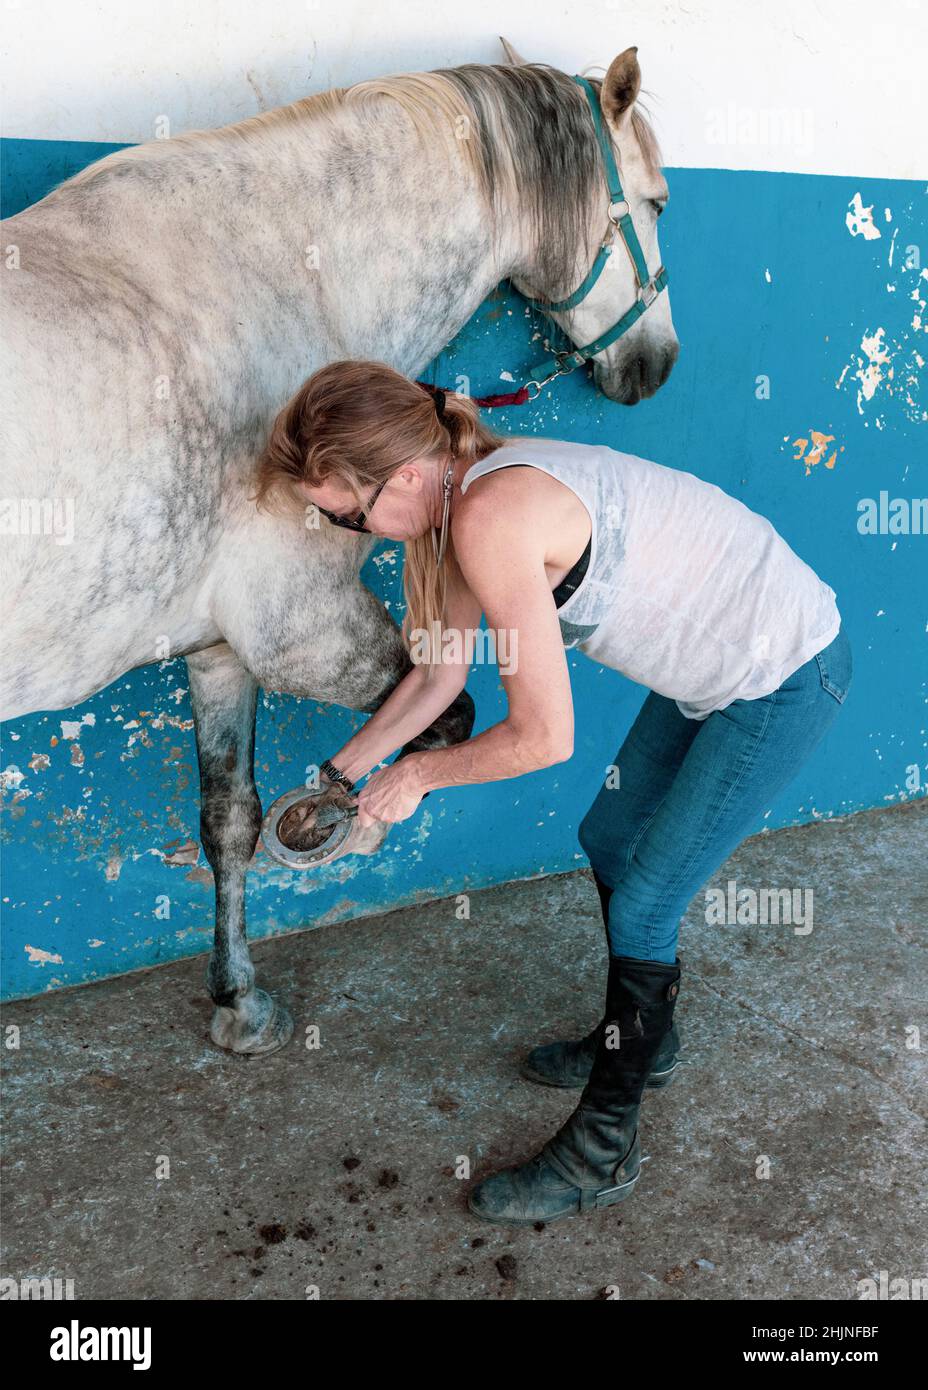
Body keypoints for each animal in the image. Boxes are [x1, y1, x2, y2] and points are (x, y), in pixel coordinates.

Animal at [0, 38, 675, 1050]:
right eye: (660, 202)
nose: (656, 366)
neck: (284, 274)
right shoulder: (305, 632)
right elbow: (447, 718)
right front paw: (351, 825)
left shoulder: (220, 650)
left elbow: (228, 817)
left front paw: (240, 1000)